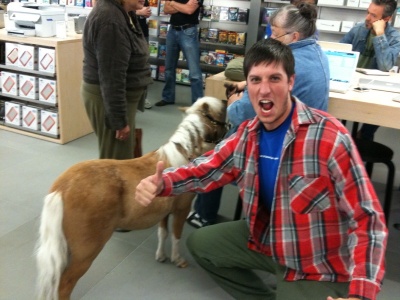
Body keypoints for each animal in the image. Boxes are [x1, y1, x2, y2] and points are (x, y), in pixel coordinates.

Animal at [35, 96, 227, 300]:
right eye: (220, 113)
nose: (226, 99)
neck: (184, 154)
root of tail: (62, 188)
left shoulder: (164, 212)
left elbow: (163, 233)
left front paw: (161, 256)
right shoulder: (181, 210)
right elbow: (176, 235)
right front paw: (177, 259)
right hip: (85, 251)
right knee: (64, 284)